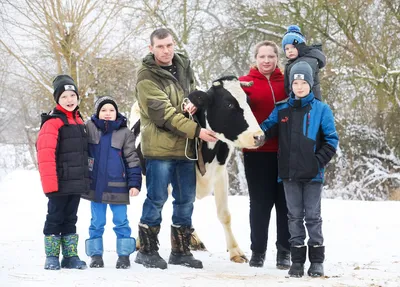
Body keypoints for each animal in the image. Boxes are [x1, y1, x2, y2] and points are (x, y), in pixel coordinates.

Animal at [130, 76, 264, 264]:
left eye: (248, 101)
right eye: (229, 104)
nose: (259, 137)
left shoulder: (221, 175)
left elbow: (224, 215)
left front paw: (236, 252)